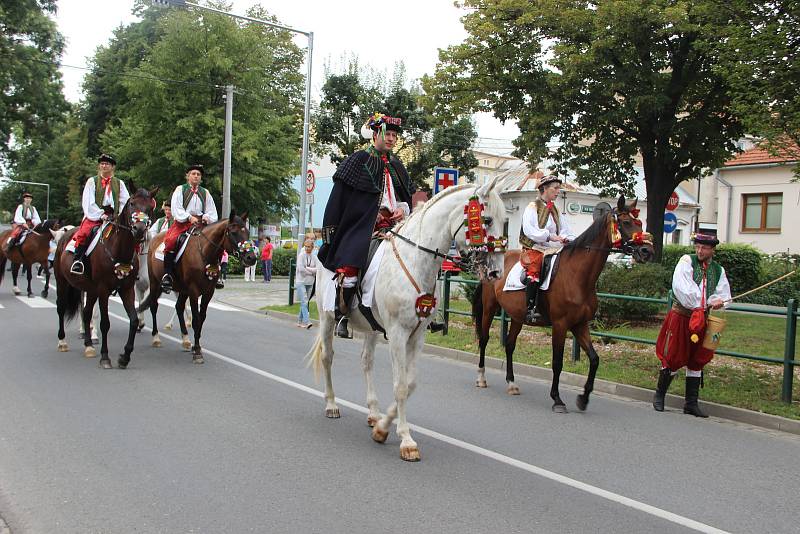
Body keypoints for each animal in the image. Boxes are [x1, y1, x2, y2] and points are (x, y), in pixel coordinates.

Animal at [53, 186, 158, 370]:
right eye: (132, 203)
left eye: (150, 207)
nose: (138, 229)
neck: (118, 250)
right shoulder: (103, 289)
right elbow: (105, 323)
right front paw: (105, 357)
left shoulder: (127, 289)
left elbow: (133, 320)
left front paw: (125, 357)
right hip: (63, 282)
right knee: (61, 307)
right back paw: (62, 342)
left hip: (89, 289)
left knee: (86, 312)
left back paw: (88, 345)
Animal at [141, 213, 256, 364]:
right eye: (234, 232)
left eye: (247, 232)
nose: (251, 258)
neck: (204, 253)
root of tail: (156, 237)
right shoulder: (194, 291)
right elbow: (196, 319)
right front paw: (197, 352)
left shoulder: (208, 292)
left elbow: (201, 318)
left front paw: (197, 347)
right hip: (155, 283)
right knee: (154, 306)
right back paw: (156, 338)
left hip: (182, 289)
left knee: (179, 307)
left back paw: (185, 340)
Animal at [306, 178, 506, 462]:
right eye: (487, 219)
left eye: (504, 220)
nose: (497, 271)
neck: (416, 261)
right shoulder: (398, 334)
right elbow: (400, 385)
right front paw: (406, 441)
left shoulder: (417, 336)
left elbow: (410, 384)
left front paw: (382, 427)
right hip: (327, 318)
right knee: (327, 357)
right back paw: (332, 404)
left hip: (371, 329)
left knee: (366, 362)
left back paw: (372, 413)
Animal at [472, 199, 652, 412]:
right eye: (625, 222)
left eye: (640, 223)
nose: (647, 251)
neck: (577, 276)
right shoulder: (560, 324)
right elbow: (557, 362)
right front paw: (557, 399)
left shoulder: (580, 325)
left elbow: (594, 359)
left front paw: (583, 398)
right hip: (489, 308)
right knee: (484, 339)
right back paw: (481, 378)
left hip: (517, 316)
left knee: (509, 345)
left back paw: (512, 383)